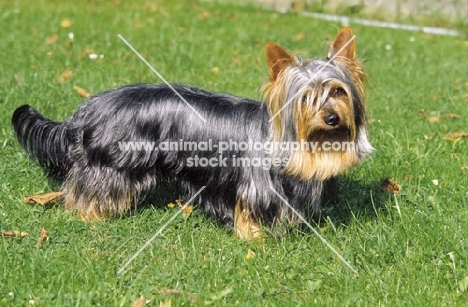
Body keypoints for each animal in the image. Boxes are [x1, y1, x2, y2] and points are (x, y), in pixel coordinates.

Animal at [11, 27, 372, 239]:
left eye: (338, 91)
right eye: (305, 98)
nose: (331, 118)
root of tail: (85, 110)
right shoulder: (253, 188)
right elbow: (248, 213)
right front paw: (254, 237)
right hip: (110, 165)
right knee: (88, 190)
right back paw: (91, 216)